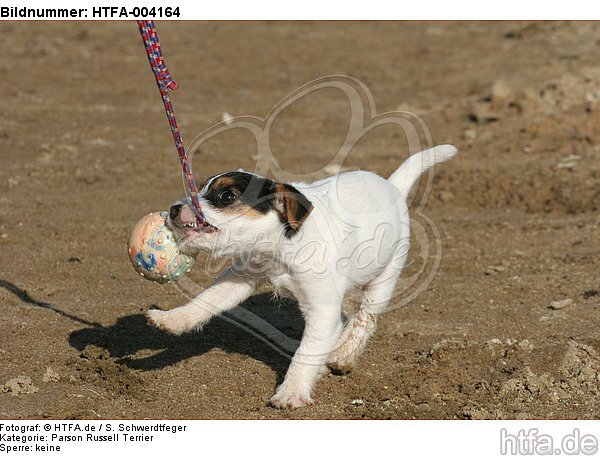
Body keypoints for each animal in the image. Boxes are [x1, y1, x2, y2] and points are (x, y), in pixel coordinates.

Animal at [148, 144, 458, 408]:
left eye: (226, 197)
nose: (174, 209)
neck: (281, 247)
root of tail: (391, 186)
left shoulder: (321, 310)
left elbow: (305, 353)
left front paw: (292, 392)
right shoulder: (240, 278)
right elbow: (205, 302)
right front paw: (171, 319)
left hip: (384, 278)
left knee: (364, 319)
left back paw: (343, 355)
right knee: (348, 317)